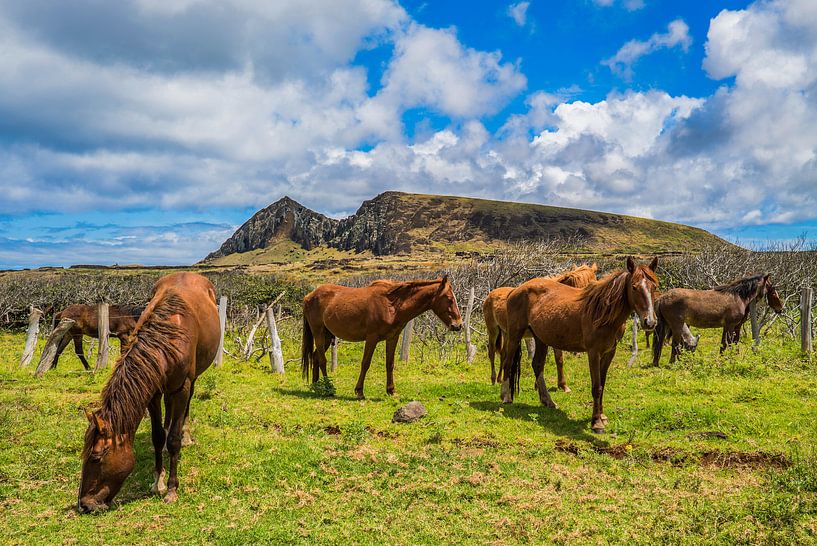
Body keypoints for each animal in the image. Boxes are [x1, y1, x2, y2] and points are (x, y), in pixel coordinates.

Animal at [78, 272, 220, 512]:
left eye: (96, 458)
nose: (84, 505)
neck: (166, 341)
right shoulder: (153, 393)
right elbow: (158, 436)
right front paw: (157, 481)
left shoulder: (182, 387)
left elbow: (173, 440)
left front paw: (172, 489)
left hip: (192, 380)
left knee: (186, 407)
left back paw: (186, 434)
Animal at [302, 275, 463, 399]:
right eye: (449, 299)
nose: (458, 325)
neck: (391, 305)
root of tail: (309, 296)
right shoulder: (371, 338)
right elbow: (365, 363)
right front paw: (359, 392)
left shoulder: (392, 338)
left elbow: (389, 364)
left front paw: (391, 391)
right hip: (318, 333)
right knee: (322, 360)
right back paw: (328, 388)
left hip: (327, 335)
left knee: (315, 357)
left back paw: (316, 387)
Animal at [500, 257, 659, 433]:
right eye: (634, 287)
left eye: (654, 286)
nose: (650, 322)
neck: (603, 314)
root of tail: (516, 290)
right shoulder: (593, 353)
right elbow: (596, 387)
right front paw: (596, 422)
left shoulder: (609, 352)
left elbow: (602, 384)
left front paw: (602, 416)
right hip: (515, 334)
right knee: (507, 362)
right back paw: (506, 397)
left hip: (541, 338)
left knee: (537, 365)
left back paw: (548, 401)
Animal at [651, 274, 783, 365]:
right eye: (772, 290)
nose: (780, 308)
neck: (738, 297)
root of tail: (663, 297)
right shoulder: (731, 325)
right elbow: (727, 343)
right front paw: (726, 359)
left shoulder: (730, 326)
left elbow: (728, 343)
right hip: (676, 325)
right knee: (675, 343)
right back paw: (673, 362)